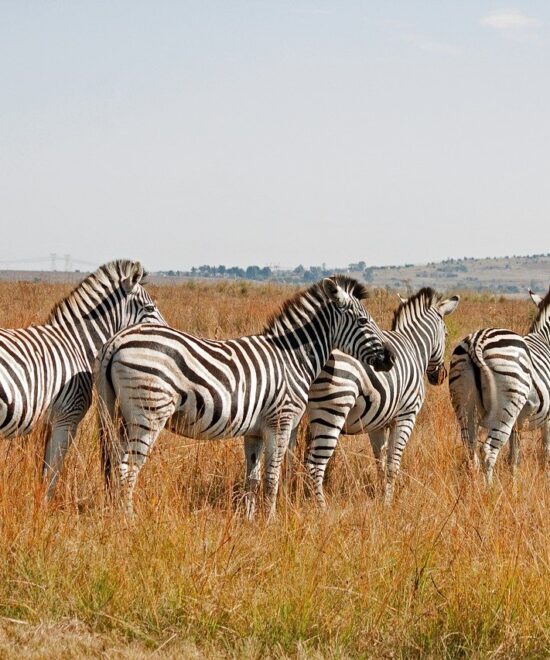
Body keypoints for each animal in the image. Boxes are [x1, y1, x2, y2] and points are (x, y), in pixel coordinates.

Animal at [0, 259, 165, 497]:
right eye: (150, 308)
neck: (76, 343)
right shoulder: (67, 417)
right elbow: (51, 475)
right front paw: (46, 505)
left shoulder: (50, 421)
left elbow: (44, 471)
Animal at [95, 276, 395, 518]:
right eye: (364, 321)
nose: (390, 358)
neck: (292, 359)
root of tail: (118, 339)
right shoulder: (280, 422)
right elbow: (272, 478)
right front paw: (271, 522)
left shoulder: (255, 432)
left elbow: (253, 478)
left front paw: (250, 521)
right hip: (148, 413)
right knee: (129, 468)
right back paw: (129, 519)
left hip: (118, 414)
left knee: (117, 464)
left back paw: (114, 514)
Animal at [301, 288, 459, 505]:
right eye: (446, 333)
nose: (440, 376)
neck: (414, 347)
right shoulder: (406, 416)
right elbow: (393, 463)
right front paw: (388, 502)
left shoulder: (378, 422)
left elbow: (380, 462)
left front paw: (381, 494)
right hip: (332, 411)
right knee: (315, 464)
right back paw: (320, 507)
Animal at [449, 287, 550, 483]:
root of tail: (476, 341)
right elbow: (545, 451)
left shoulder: (519, 424)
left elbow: (514, 455)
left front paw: (513, 482)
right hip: (507, 406)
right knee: (488, 450)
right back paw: (489, 489)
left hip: (464, 403)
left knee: (470, 448)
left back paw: (474, 488)